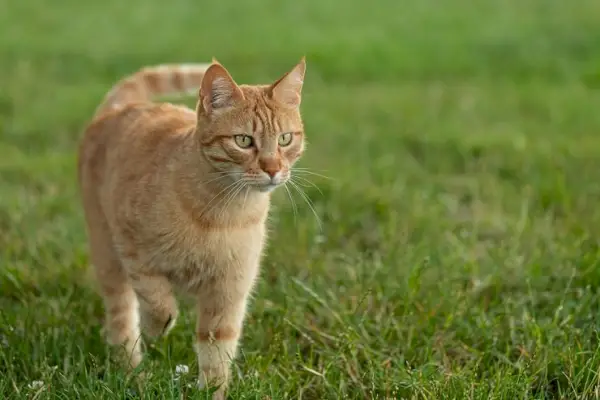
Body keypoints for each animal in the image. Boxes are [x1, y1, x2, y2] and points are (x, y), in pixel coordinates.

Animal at [77, 55, 308, 396]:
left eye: (285, 139)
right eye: (243, 141)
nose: (272, 169)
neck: (221, 215)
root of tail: (121, 107)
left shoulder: (228, 291)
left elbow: (216, 352)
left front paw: (213, 392)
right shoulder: (130, 246)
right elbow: (156, 299)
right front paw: (156, 328)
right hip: (106, 252)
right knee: (121, 319)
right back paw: (134, 375)